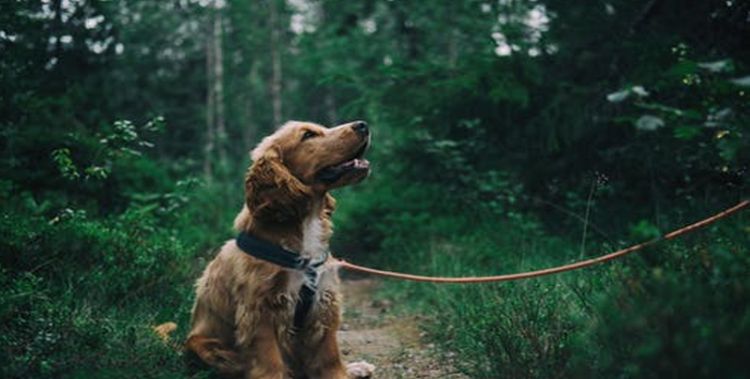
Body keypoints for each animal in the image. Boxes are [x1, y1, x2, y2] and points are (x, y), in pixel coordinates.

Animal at [184, 121, 376, 379]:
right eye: (308, 135)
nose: (363, 124)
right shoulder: (260, 310)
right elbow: (270, 361)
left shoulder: (324, 302)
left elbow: (329, 357)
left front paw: (341, 373)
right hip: (208, 348)